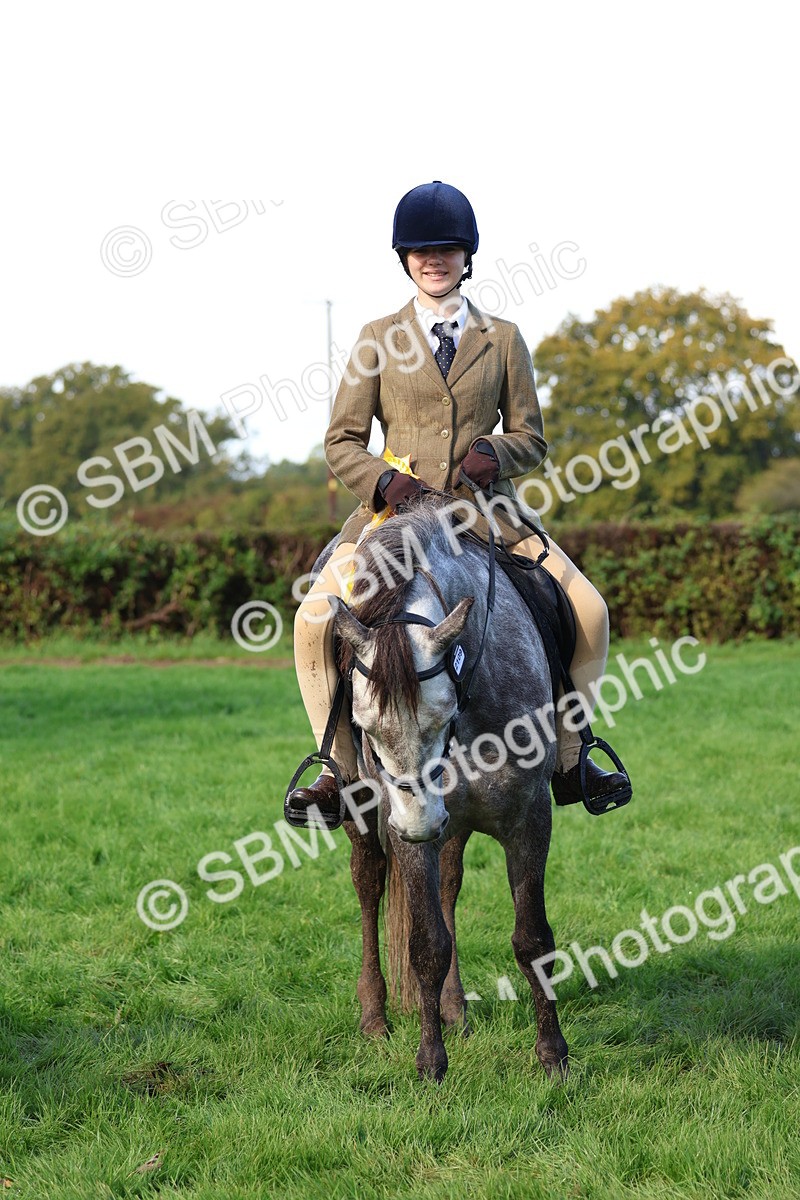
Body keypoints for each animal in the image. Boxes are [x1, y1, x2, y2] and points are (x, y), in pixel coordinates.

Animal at [320, 493, 569, 1083]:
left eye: (446, 713)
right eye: (362, 726)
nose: (419, 825)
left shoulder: (530, 817)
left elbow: (533, 937)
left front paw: (553, 1054)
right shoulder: (405, 832)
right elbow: (427, 943)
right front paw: (431, 1061)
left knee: (451, 885)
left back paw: (454, 1008)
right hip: (364, 815)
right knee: (369, 885)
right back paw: (375, 1015)